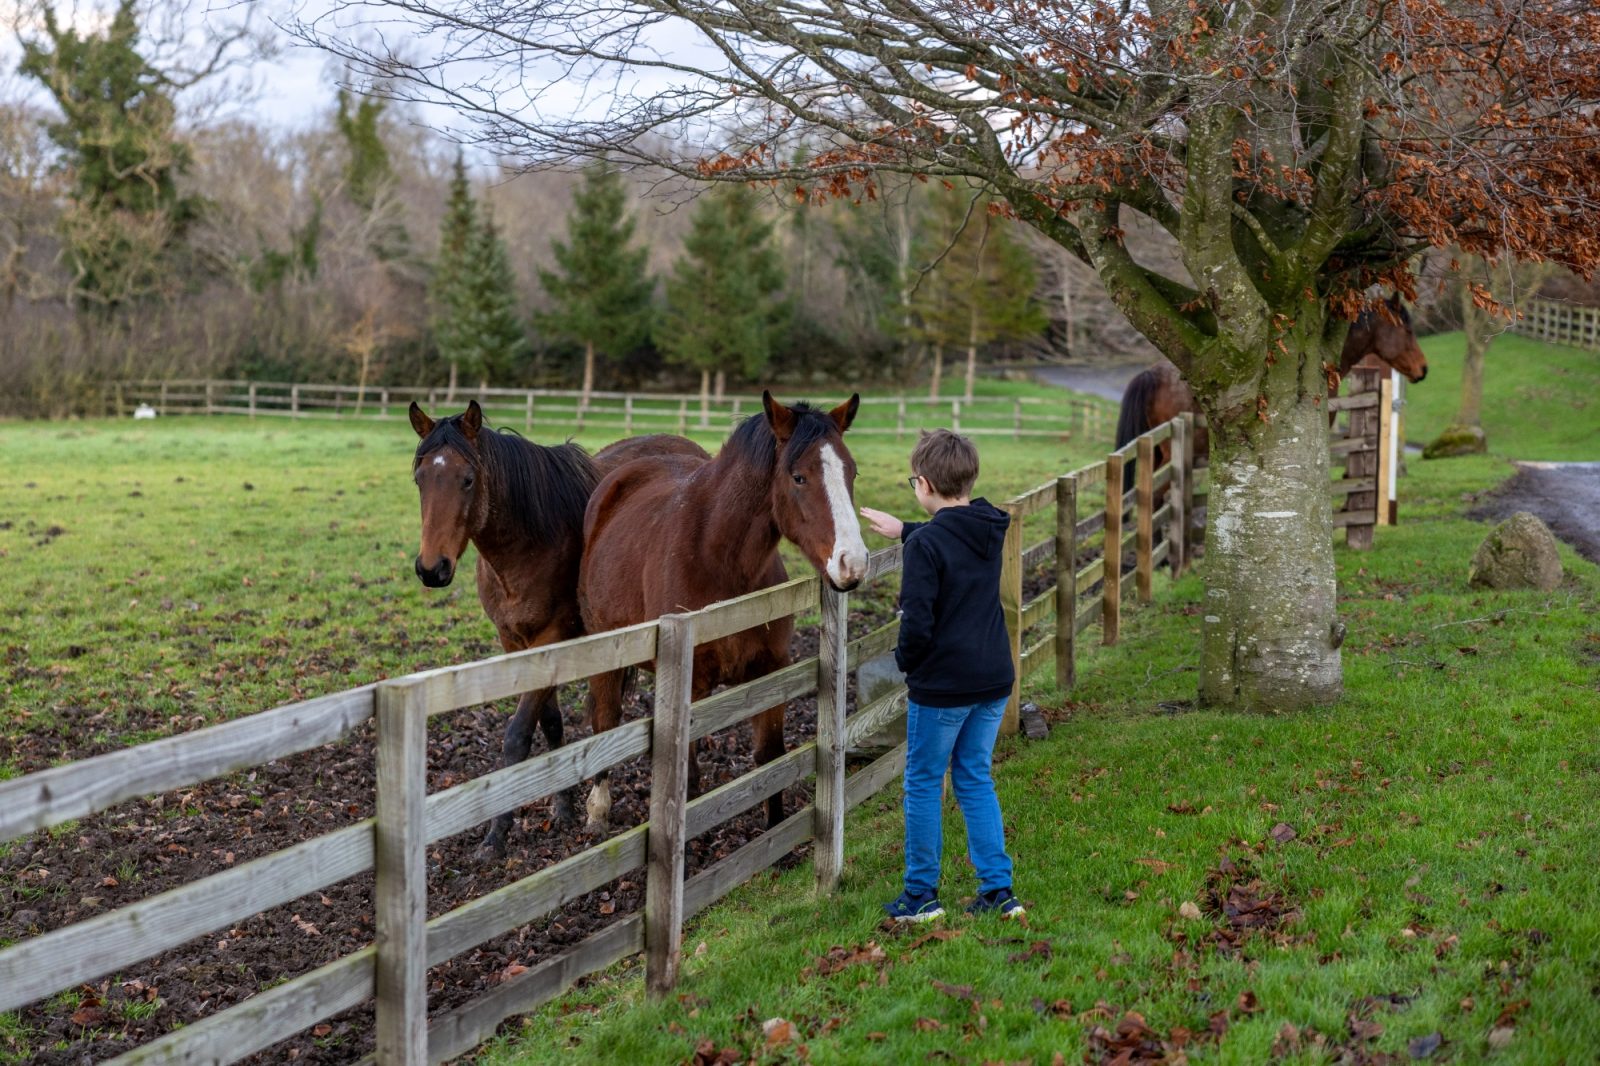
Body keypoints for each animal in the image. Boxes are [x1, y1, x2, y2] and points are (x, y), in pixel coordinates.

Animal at [409, 398, 710, 857]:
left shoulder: (555, 637)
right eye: (419, 477)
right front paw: (563, 807)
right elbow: (549, 722)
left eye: (468, 479)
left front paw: (498, 834)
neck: (531, 539)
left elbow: (518, 734)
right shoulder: (516, 642)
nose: (431, 568)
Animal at [576, 390, 870, 832]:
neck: (718, 558)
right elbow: (689, 781)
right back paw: (597, 811)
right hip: (604, 650)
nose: (852, 563)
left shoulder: (770, 669)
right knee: (605, 720)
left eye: (851, 472)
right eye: (799, 477)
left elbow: (769, 758)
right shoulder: (690, 685)